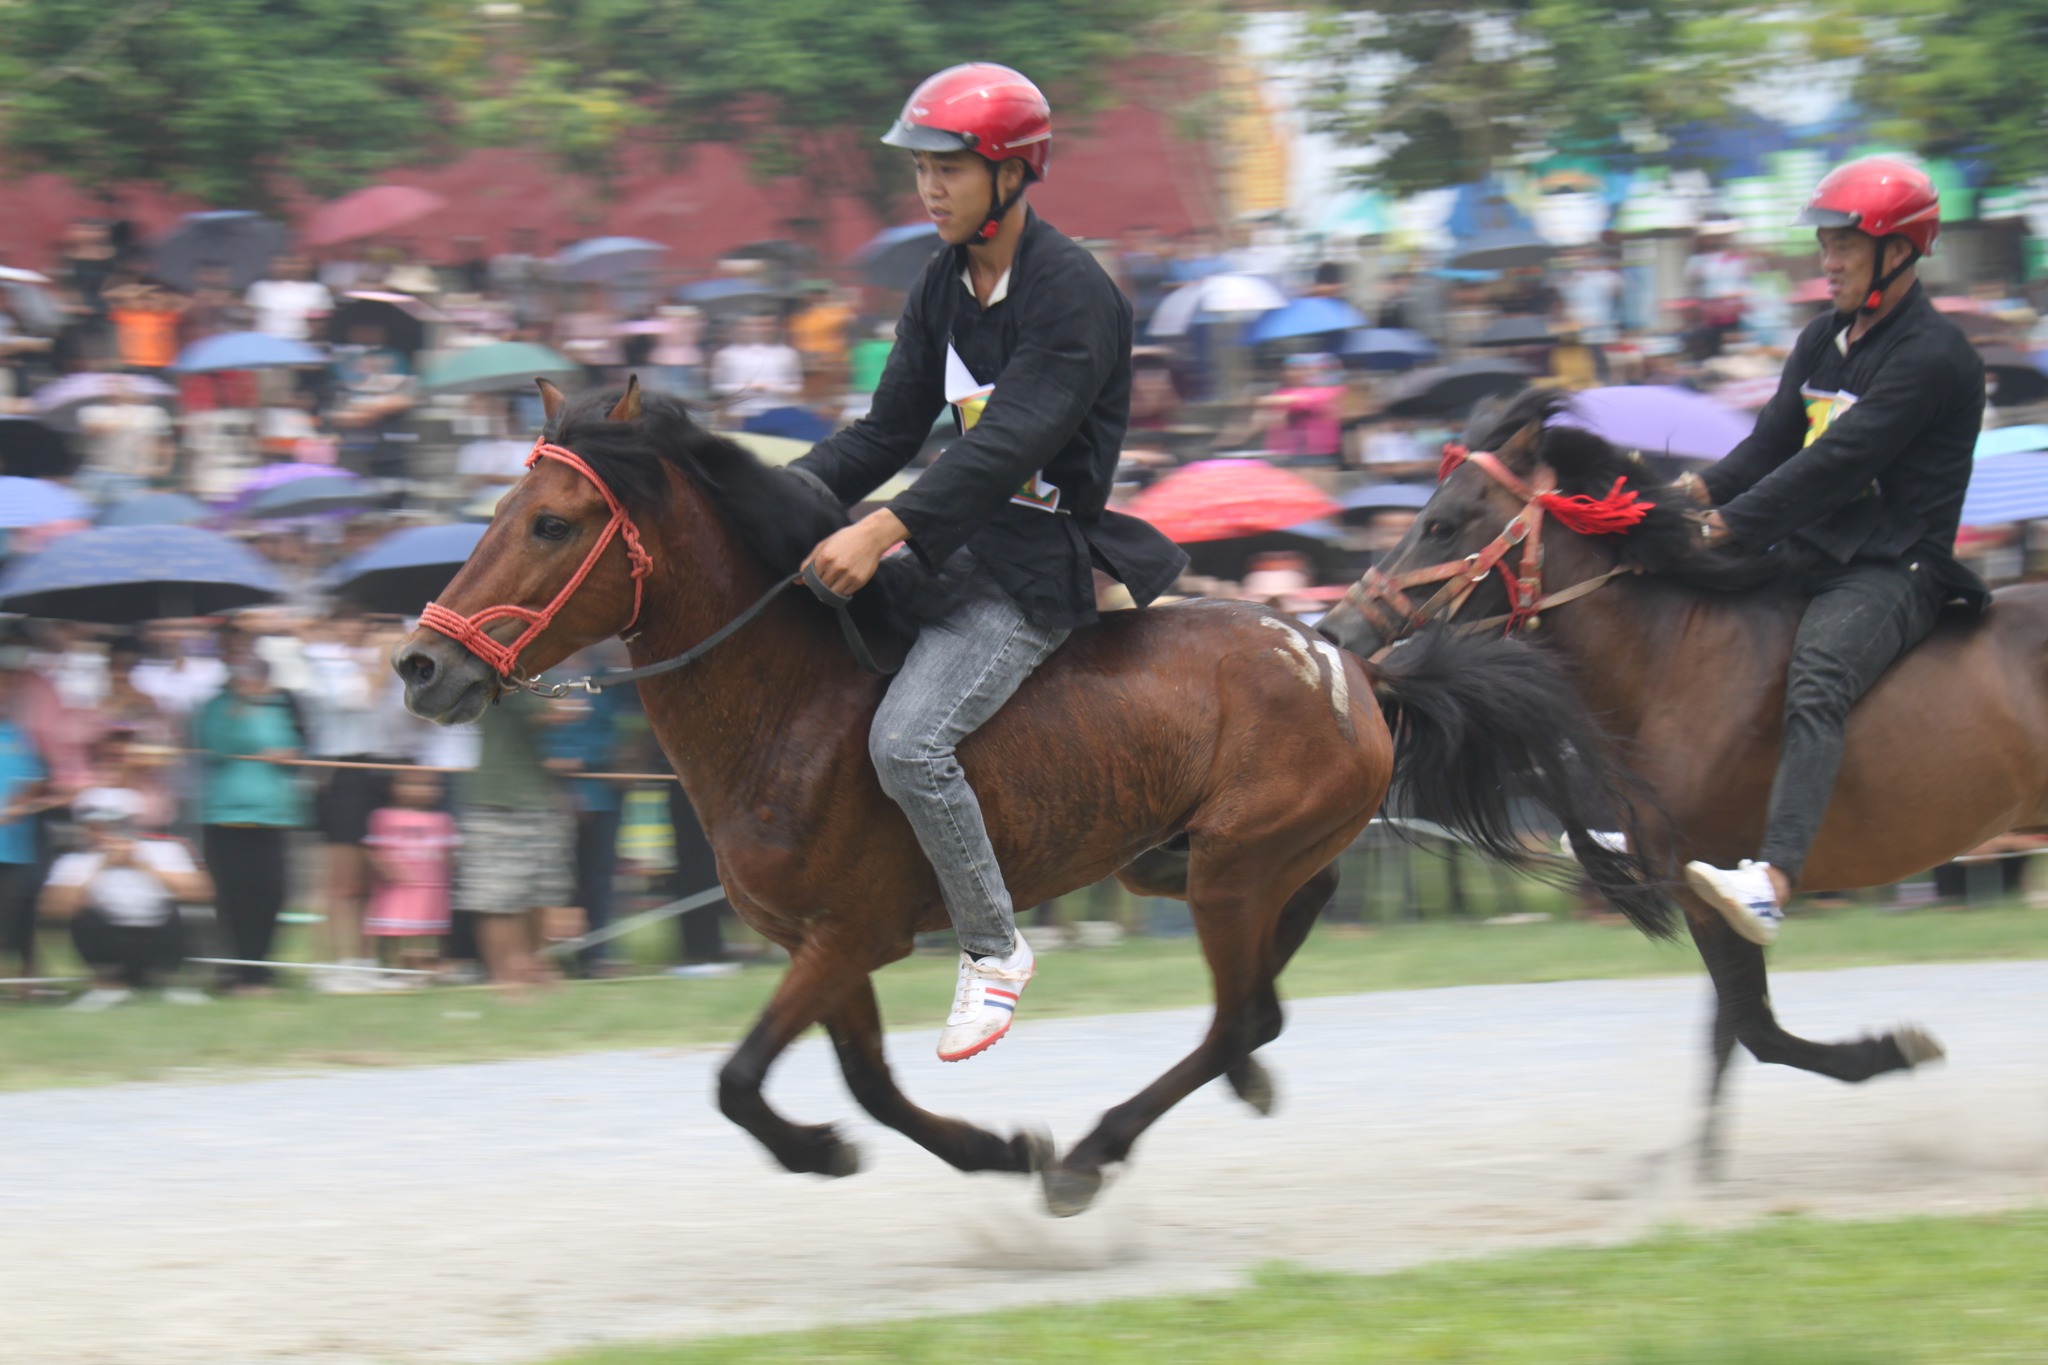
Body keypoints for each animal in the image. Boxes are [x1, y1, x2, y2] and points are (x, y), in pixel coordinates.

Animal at [391, 382, 1671, 1219]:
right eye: (495, 515)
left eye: (551, 524)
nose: (420, 666)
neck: (792, 707)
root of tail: (1349, 665)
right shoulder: (824, 946)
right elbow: (868, 1082)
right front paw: (980, 1148)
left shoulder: (843, 935)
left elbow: (743, 1078)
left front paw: (842, 1152)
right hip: (1207, 859)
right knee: (1264, 987)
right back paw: (1201, 1087)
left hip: (1232, 867)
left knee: (1232, 1016)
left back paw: (1096, 1149)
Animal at [1310, 388, 2031, 1170]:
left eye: (1441, 523)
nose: (1337, 630)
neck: (1672, 661)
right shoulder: (1699, 890)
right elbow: (1736, 1030)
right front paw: (1693, 1169)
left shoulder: (1712, 871)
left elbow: (1755, 1029)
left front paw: (1895, 1048)